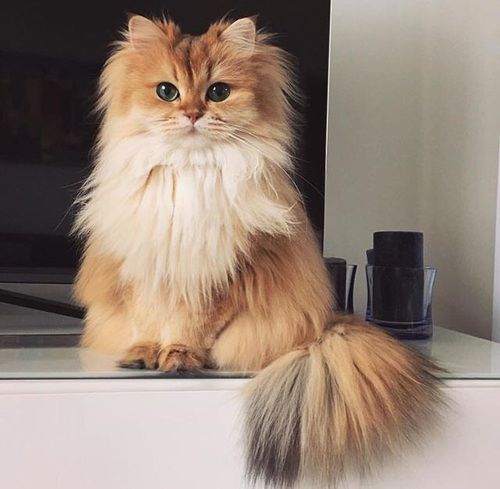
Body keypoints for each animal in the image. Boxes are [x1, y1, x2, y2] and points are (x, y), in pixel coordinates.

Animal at [75, 15, 446, 488]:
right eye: (166, 91)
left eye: (218, 91)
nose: (192, 114)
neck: (190, 174)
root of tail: (327, 322)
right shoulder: (144, 269)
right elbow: (149, 319)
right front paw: (144, 354)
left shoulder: (226, 276)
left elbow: (191, 328)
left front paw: (179, 358)